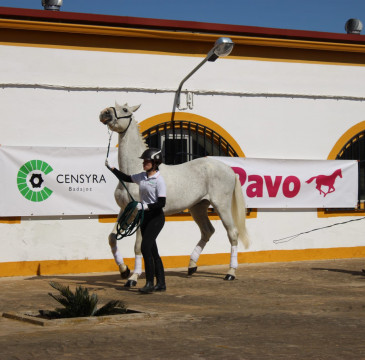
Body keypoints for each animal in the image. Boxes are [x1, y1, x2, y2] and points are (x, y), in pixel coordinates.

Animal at [98, 102, 249, 286]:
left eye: (125, 110)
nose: (105, 113)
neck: (134, 172)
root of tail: (229, 169)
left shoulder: (140, 213)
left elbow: (138, 246)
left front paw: (133, 277)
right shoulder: (126, 210)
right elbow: (112, 238)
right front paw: (124, 270)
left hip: (222, 206)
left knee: (232, 233)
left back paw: (230, 273)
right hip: (198, 208)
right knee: (207, 231)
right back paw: (191, 266)